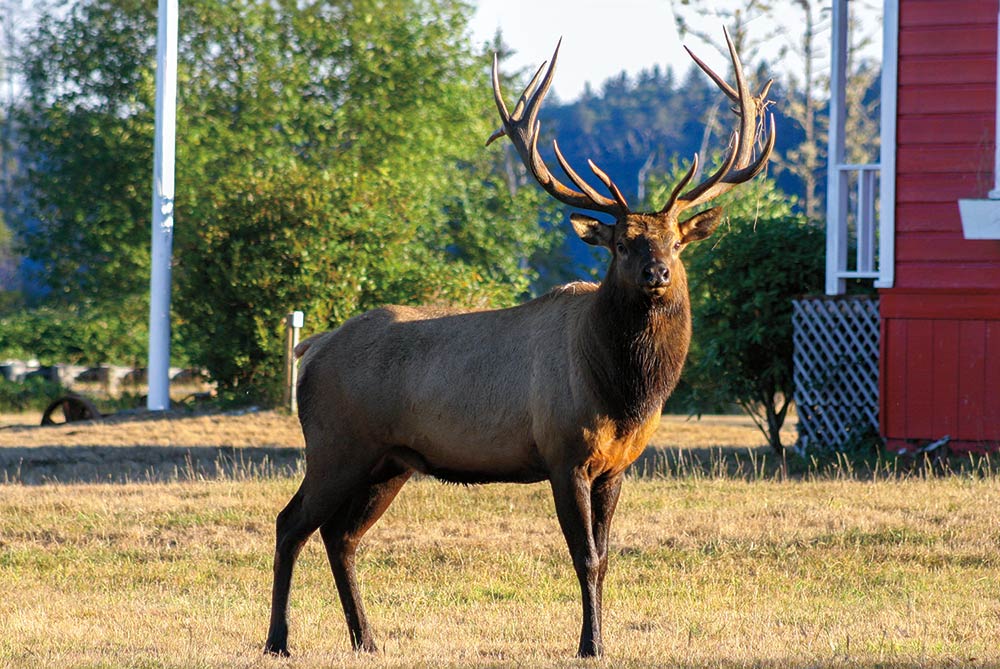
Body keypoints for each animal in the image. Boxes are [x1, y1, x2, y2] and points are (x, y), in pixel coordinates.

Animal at [264, 27, 772, 656]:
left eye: (676, 242)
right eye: (621, 244)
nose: (656, 272)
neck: (624, 390)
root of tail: (310, 349)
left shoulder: (617, 466)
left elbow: (607, 558)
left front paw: (600, 639)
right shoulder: (562, 452)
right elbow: (585, 557)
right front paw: (589, 645)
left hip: (388, 460)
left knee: (341, 533)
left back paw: (367, 640)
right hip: (336, 443)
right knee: (291, 523)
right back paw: (279, 641)